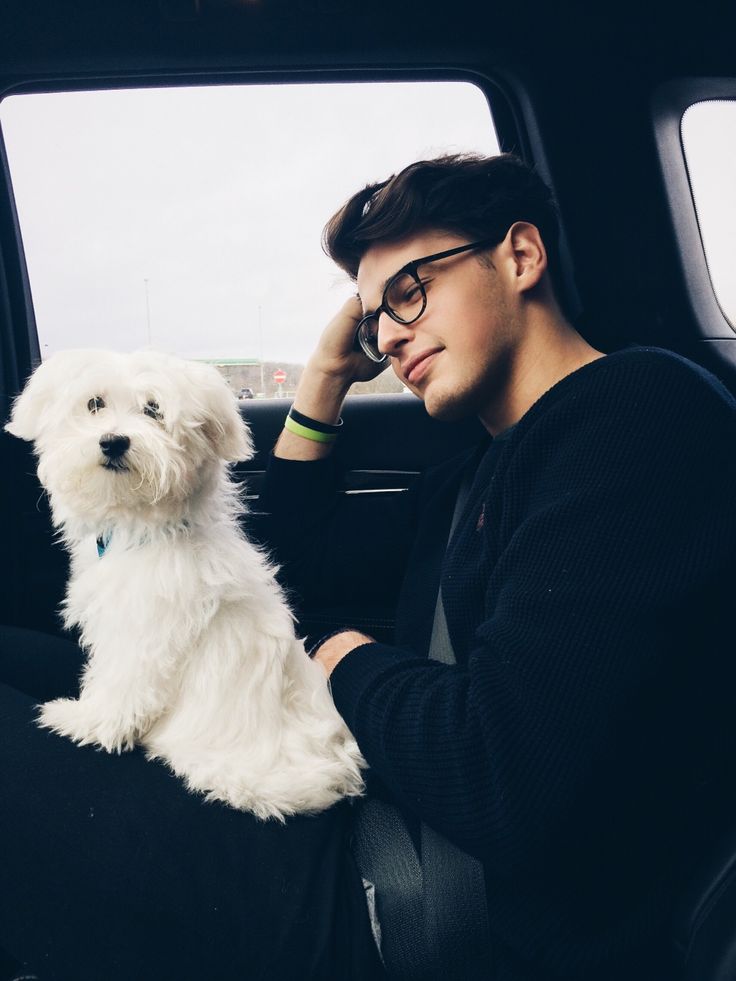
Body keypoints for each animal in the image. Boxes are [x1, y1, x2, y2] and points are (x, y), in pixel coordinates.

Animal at [2, 350, 366, 820]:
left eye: (154, 410)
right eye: (94, 404)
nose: (113, 441)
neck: (147, 527)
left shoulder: (143, 635)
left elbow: (122, 686)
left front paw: (85, 721)